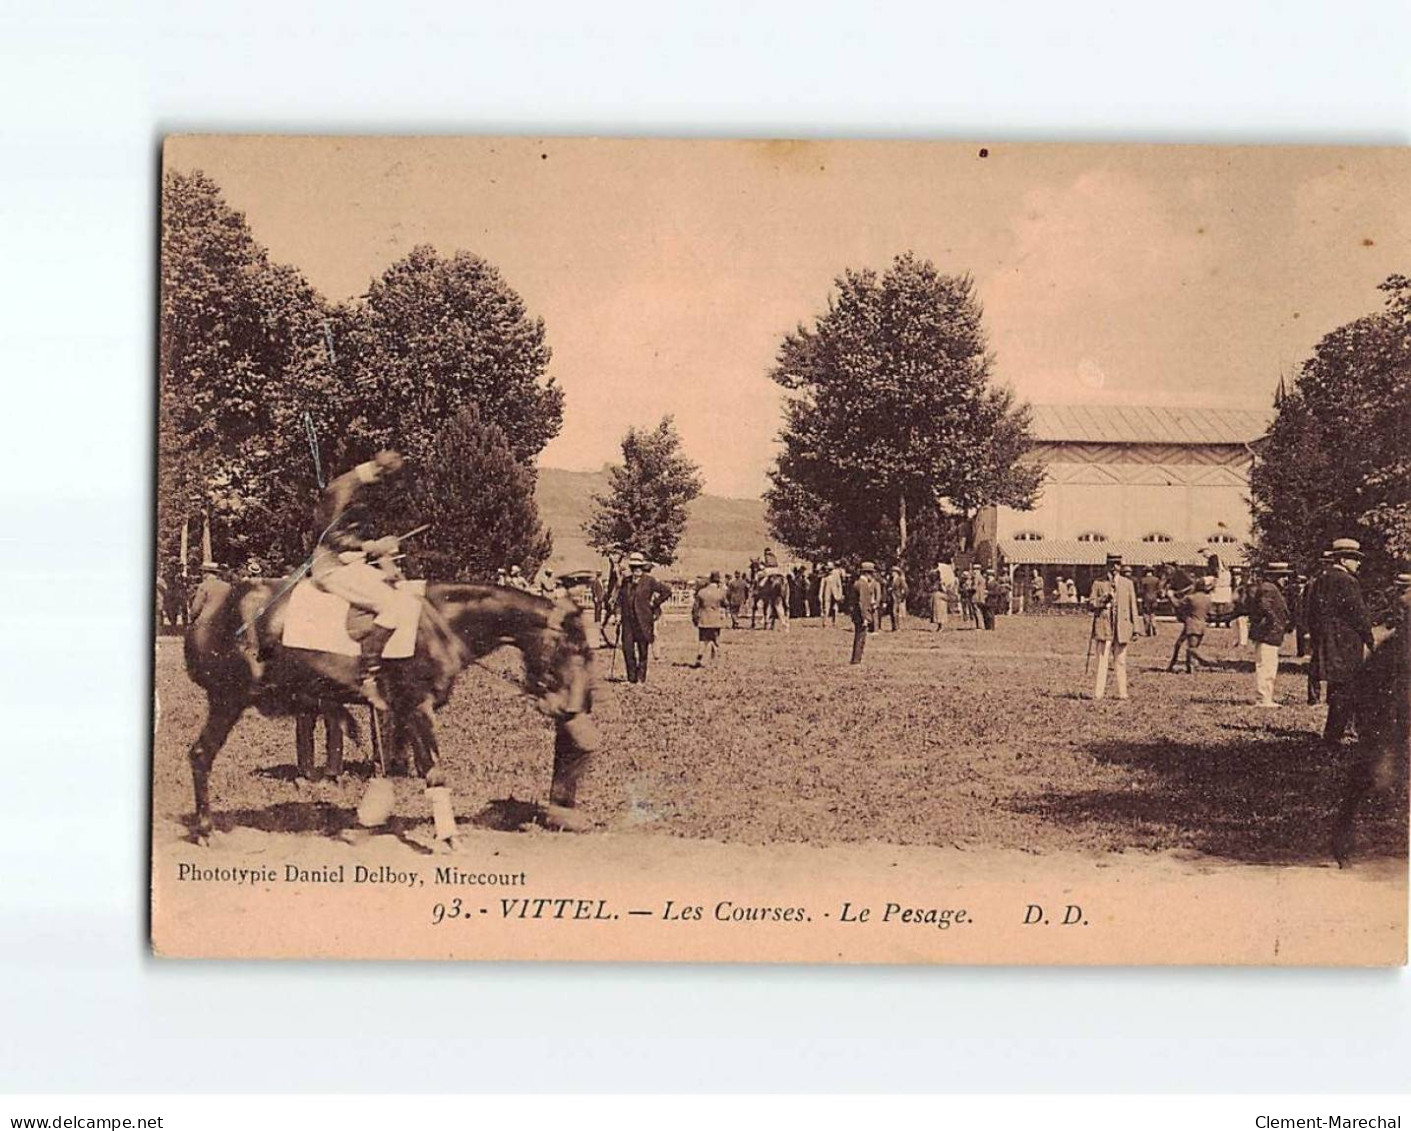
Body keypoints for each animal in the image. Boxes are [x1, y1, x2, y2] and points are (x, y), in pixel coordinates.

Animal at [182, 578, 601, 840]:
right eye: (575, 648)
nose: (579, 706)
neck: (439, 621)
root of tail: (212, 602)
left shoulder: (401, 709)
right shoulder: (417, 705)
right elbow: (434, 771)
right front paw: (449, 836)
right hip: (228, 700)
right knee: (201, 755)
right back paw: (205, 830)